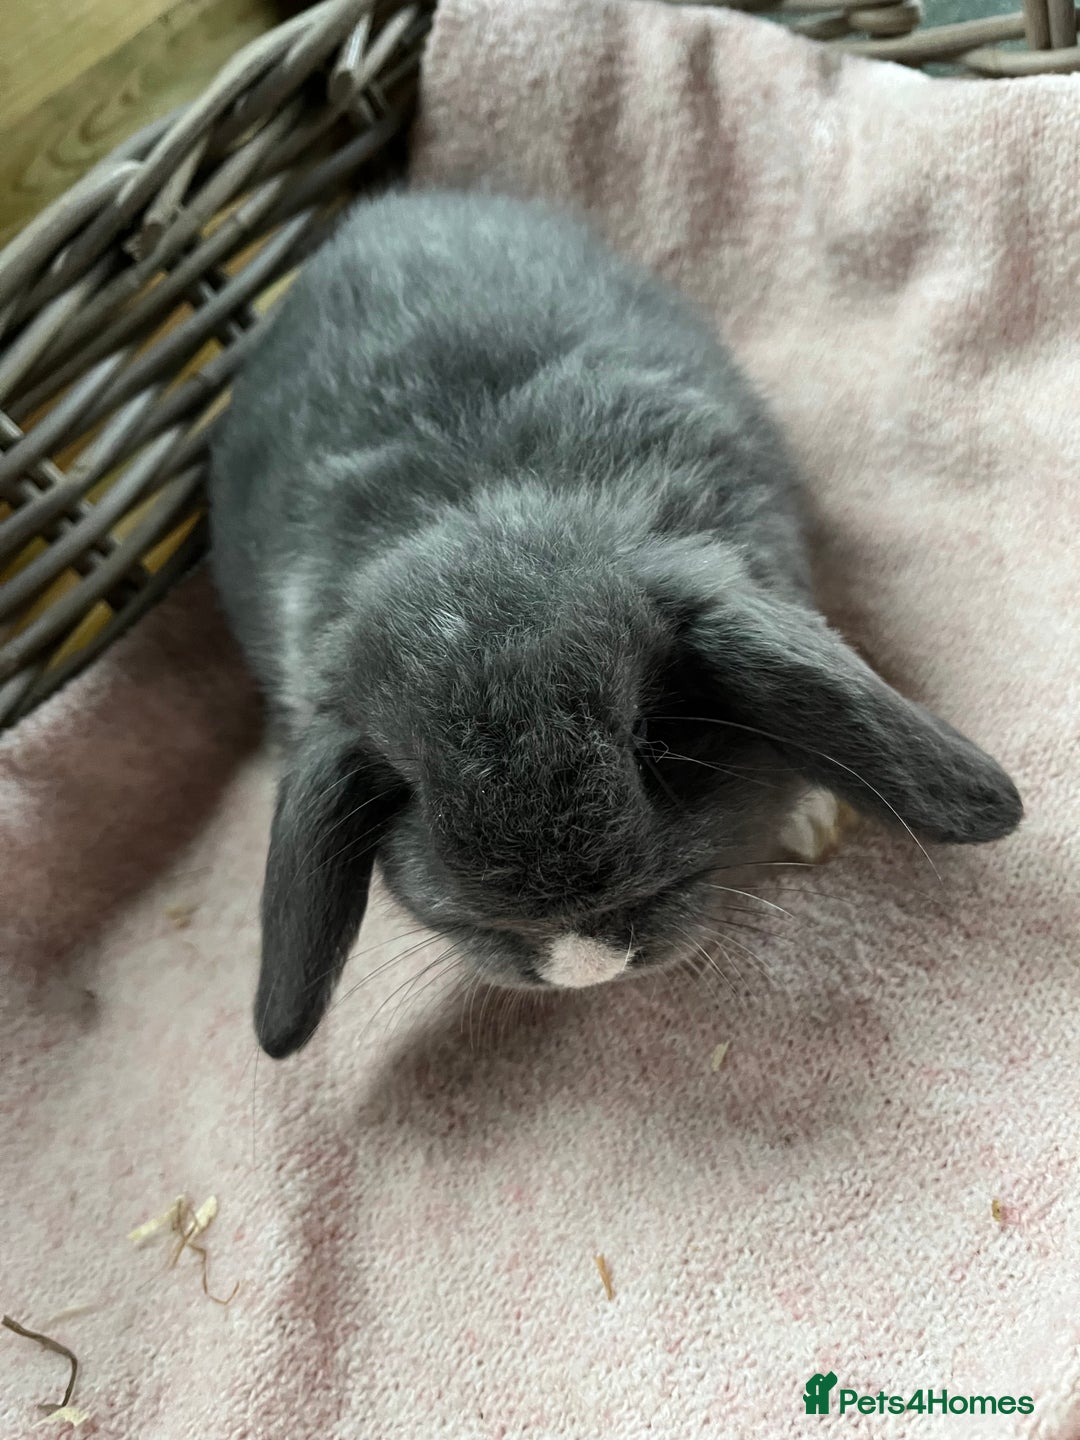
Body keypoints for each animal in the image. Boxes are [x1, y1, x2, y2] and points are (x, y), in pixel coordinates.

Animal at [209, 189, 1023, 1059]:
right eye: (412, 793)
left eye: (652, 738)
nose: (585, 958)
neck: (490, 511)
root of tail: (389, 208)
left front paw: (810, 815)